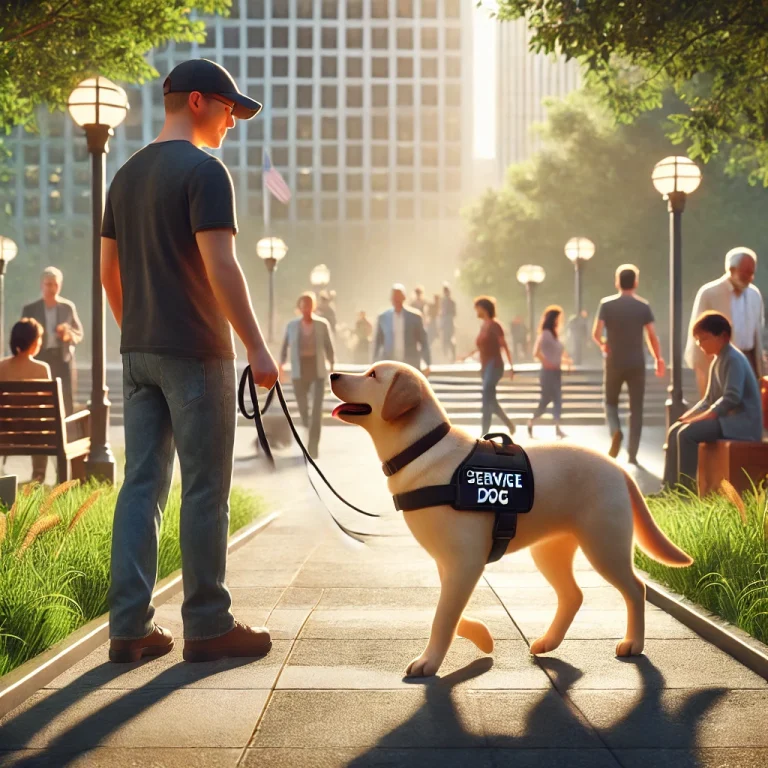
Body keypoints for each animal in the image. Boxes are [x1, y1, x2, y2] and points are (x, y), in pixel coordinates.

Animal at [330, 362, 696, 680]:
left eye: (372, 374)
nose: (333, 374)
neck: (422, 448)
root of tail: (618, 467)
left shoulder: (466, 562)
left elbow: (443, 616)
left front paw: (429, 662)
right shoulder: (449, 564)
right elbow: (450, 612)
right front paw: (482, 638)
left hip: (604, 545)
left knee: (636, 588)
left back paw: (633, 643)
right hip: (550, 550)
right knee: (573, 595)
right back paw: (548, 642)